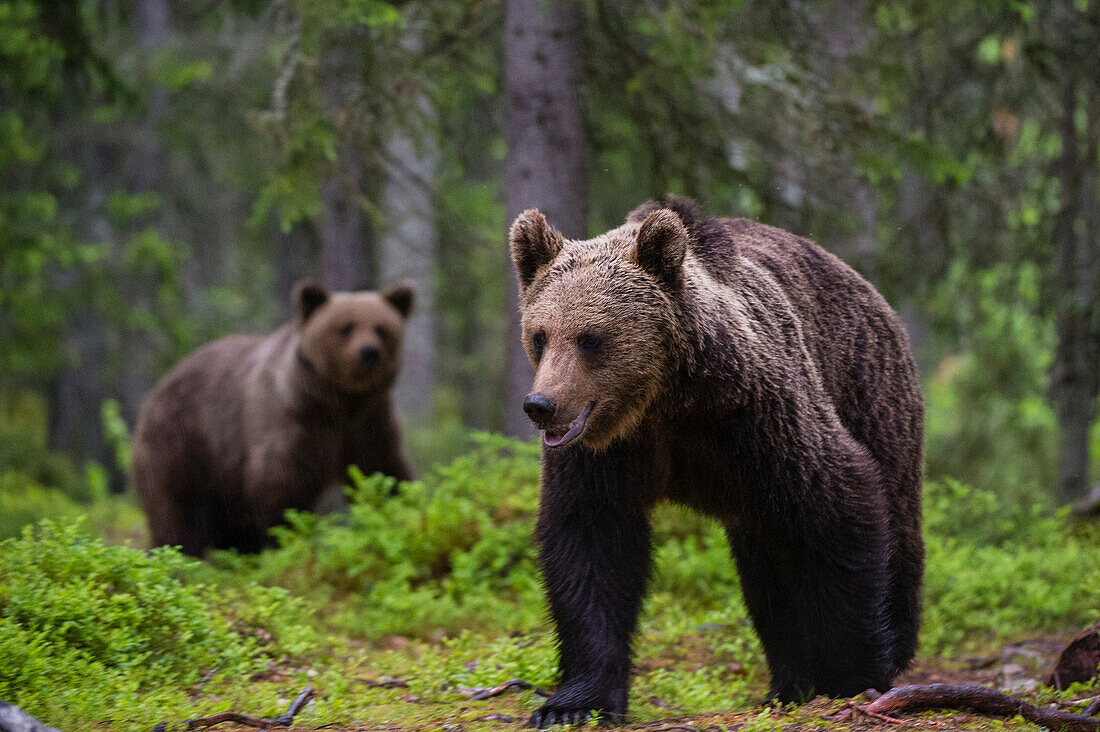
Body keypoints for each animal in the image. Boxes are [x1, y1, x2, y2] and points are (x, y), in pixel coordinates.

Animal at [133, 278, 413, 554]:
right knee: (178, 511)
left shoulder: (369, 423)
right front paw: (290, 536)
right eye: (346, 328)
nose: (369, 352)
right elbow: (283, 482)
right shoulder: (293, 419)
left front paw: (396, 513)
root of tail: (155, 392)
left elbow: (381, 470)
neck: (341, 402)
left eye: (381, 329)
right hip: (184, 444)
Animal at [510, 195, 924, 726]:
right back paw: (787, 683)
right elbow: (590, 542)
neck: (664, 400)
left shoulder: (756, 415)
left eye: (591, 338)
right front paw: (573, 704)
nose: (541, 405)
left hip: (869, 395)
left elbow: (835, 503)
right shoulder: (605, 454)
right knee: (768, 574)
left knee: (890, 526)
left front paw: (854, 675)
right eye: (541, 335)